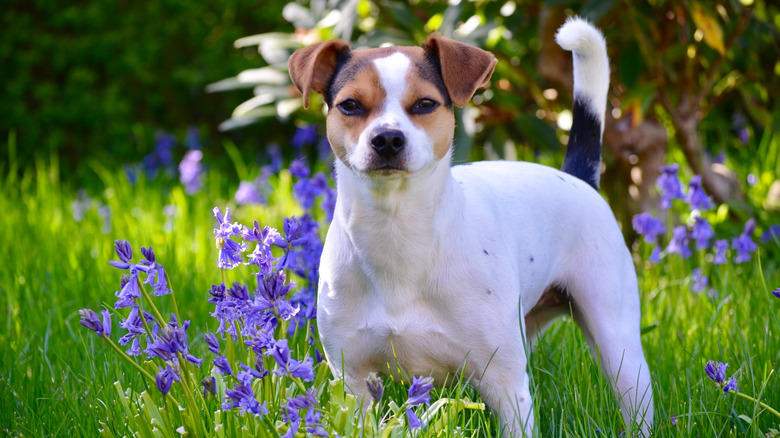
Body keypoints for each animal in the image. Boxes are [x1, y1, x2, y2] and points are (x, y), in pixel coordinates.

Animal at [286, 16, 652, 434]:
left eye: (425, 103)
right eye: (350, 105)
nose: (388, 139)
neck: (397, 234)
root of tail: (577, 178)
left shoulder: (506, 386)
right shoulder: (353, 384)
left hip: (618, 344)